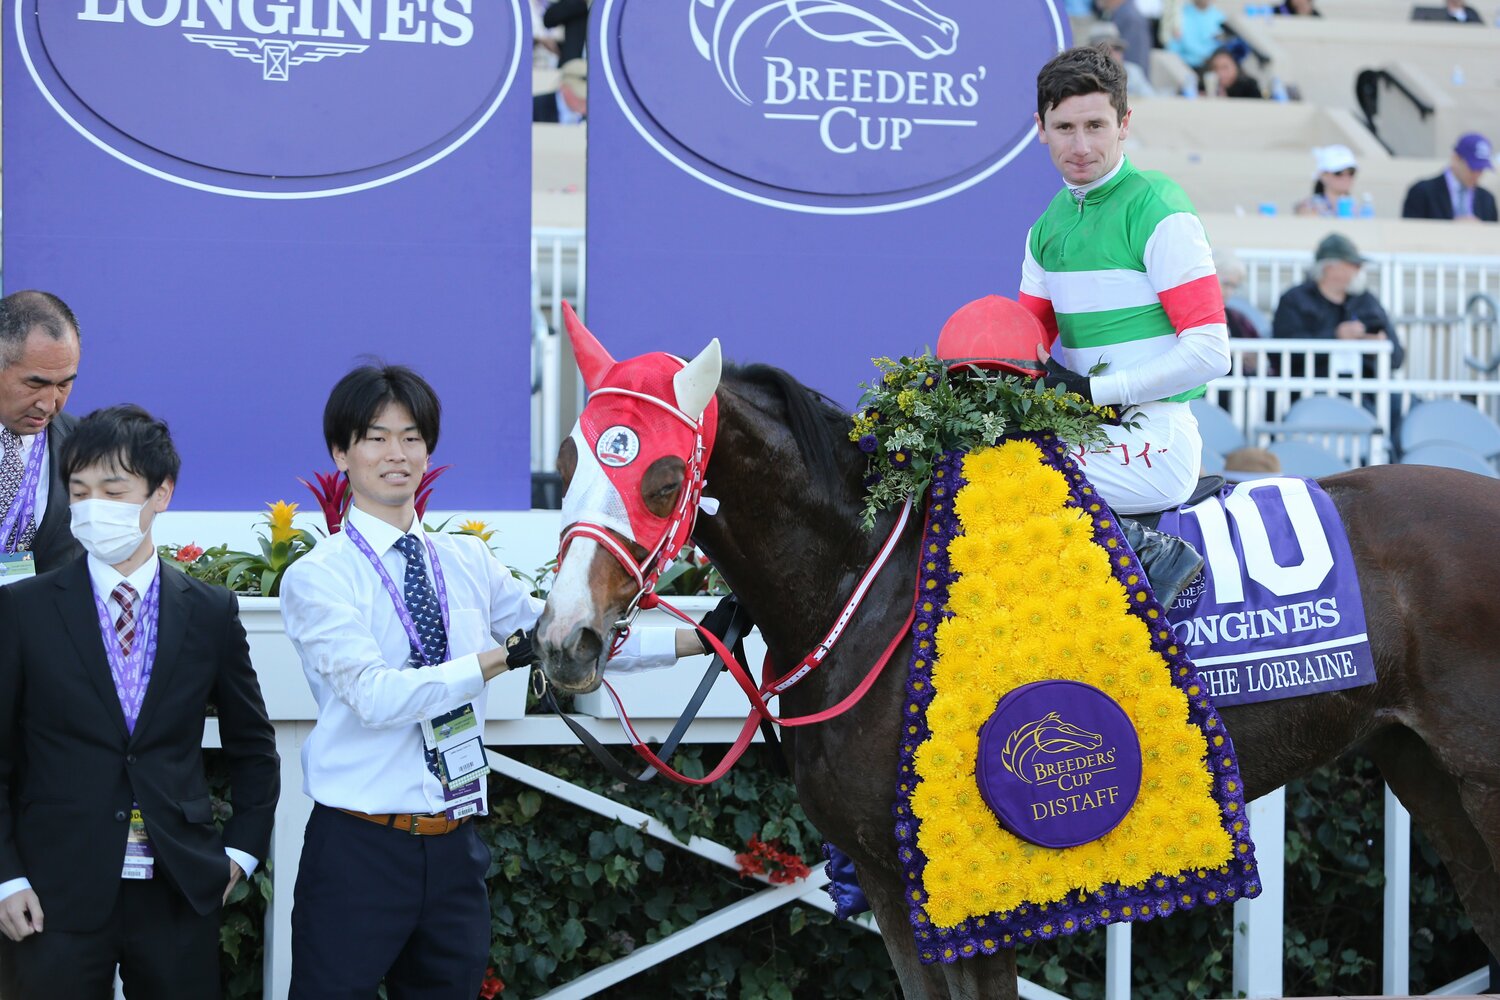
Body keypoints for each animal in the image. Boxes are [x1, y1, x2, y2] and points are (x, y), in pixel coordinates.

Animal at [534, 333, 1500, 999]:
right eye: (572, 460)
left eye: (663, 478)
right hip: (1426, 774)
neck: (869, 581)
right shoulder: (886, 880)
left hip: (1480, 779)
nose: (562, 639)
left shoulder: (974, 896)